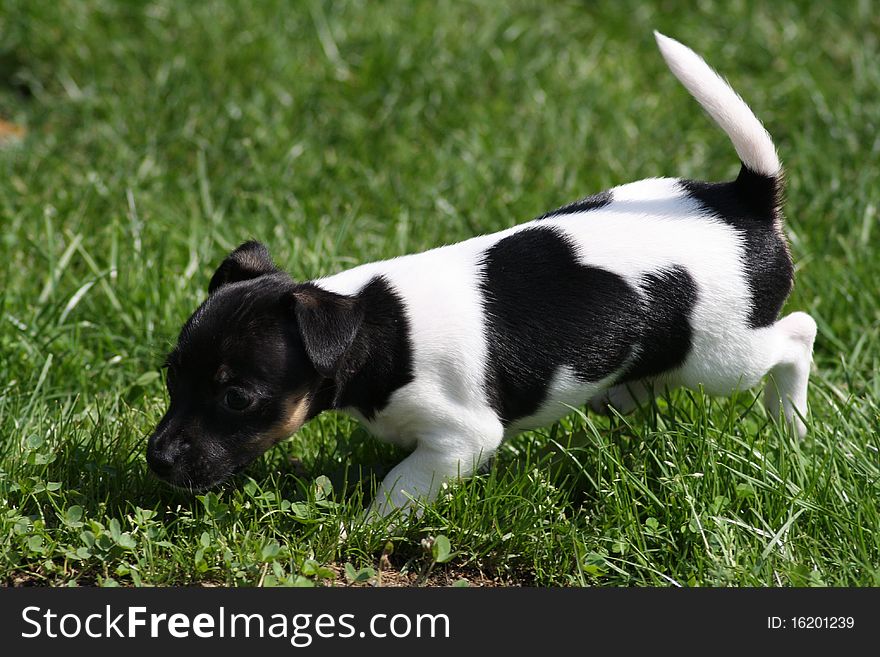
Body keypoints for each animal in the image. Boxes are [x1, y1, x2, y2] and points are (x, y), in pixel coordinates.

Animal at [146, 34, 820, 516]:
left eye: (237, 398)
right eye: (171, 376)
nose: (156, 461)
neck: (377, 329)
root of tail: (743, 201)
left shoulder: (459, 439)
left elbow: (399, 488)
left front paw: (363, 528)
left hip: (721, 357)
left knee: (797, 336)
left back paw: (791, 427)